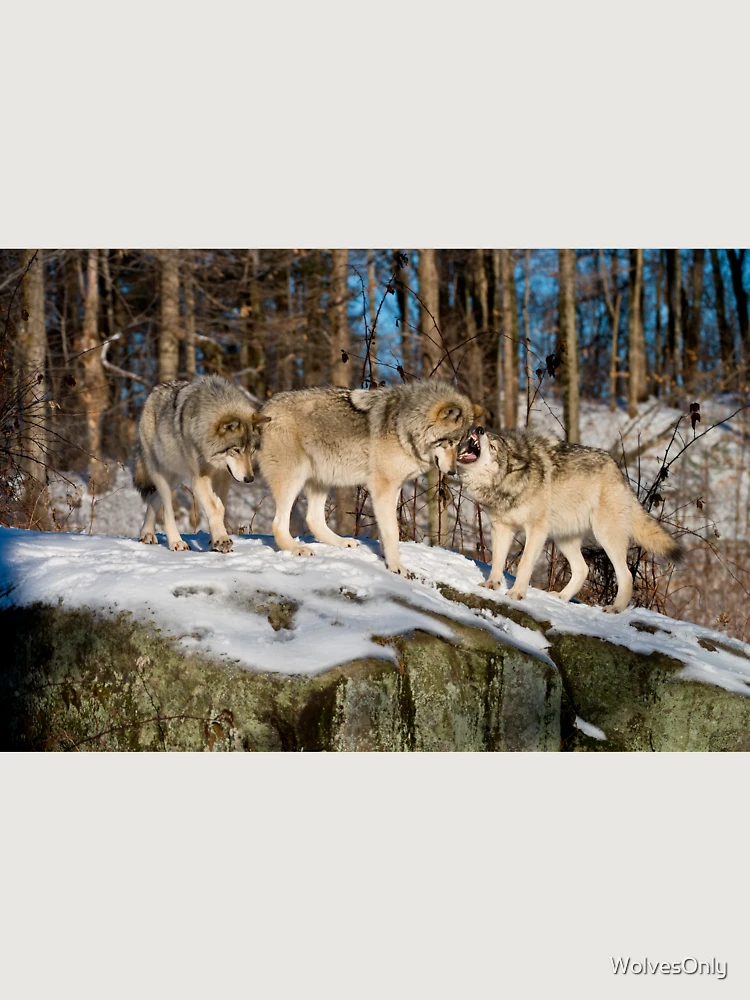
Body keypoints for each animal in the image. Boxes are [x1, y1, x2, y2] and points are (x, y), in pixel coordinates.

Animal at [133, 375, 270, 553]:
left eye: (251, 450)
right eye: (236, 450)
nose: (249, 479)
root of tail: (154, 391)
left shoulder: (224, 477)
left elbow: (219, 508)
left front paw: (215, 542)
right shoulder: (200, 479)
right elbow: (213, 509)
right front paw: (222, 539)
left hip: (176, 478)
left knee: (154, 499)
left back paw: (147, 533)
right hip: (162, 474)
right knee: (167, 511)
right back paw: (176, 542)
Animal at [257, 381, 483, 576]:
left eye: (461, 444)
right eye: (450, 442)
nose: (453, 472)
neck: (404, 428)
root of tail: (263, 409)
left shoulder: (395, 488)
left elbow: (386, 530)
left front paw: (386, 558)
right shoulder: (383, 487)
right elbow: (392, 531)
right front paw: (396, 566)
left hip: (321, 480)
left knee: (313, 519)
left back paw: (341, 542)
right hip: (293, 479)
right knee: (278, 523)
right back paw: (296, 548)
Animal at [456, 426, 682, 612]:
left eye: (493, 446)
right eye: (488, 437)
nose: (479, 428)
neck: (507, 484)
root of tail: (618, 470)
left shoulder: (536, 530)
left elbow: (524, 564)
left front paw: (516, 594)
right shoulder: (501, 528)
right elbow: (497, 560)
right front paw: (492, 585)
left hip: (605, 536)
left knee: (625, 575)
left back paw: (615, 608)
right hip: (563, 539)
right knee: (583, 569)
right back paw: (562, 597)